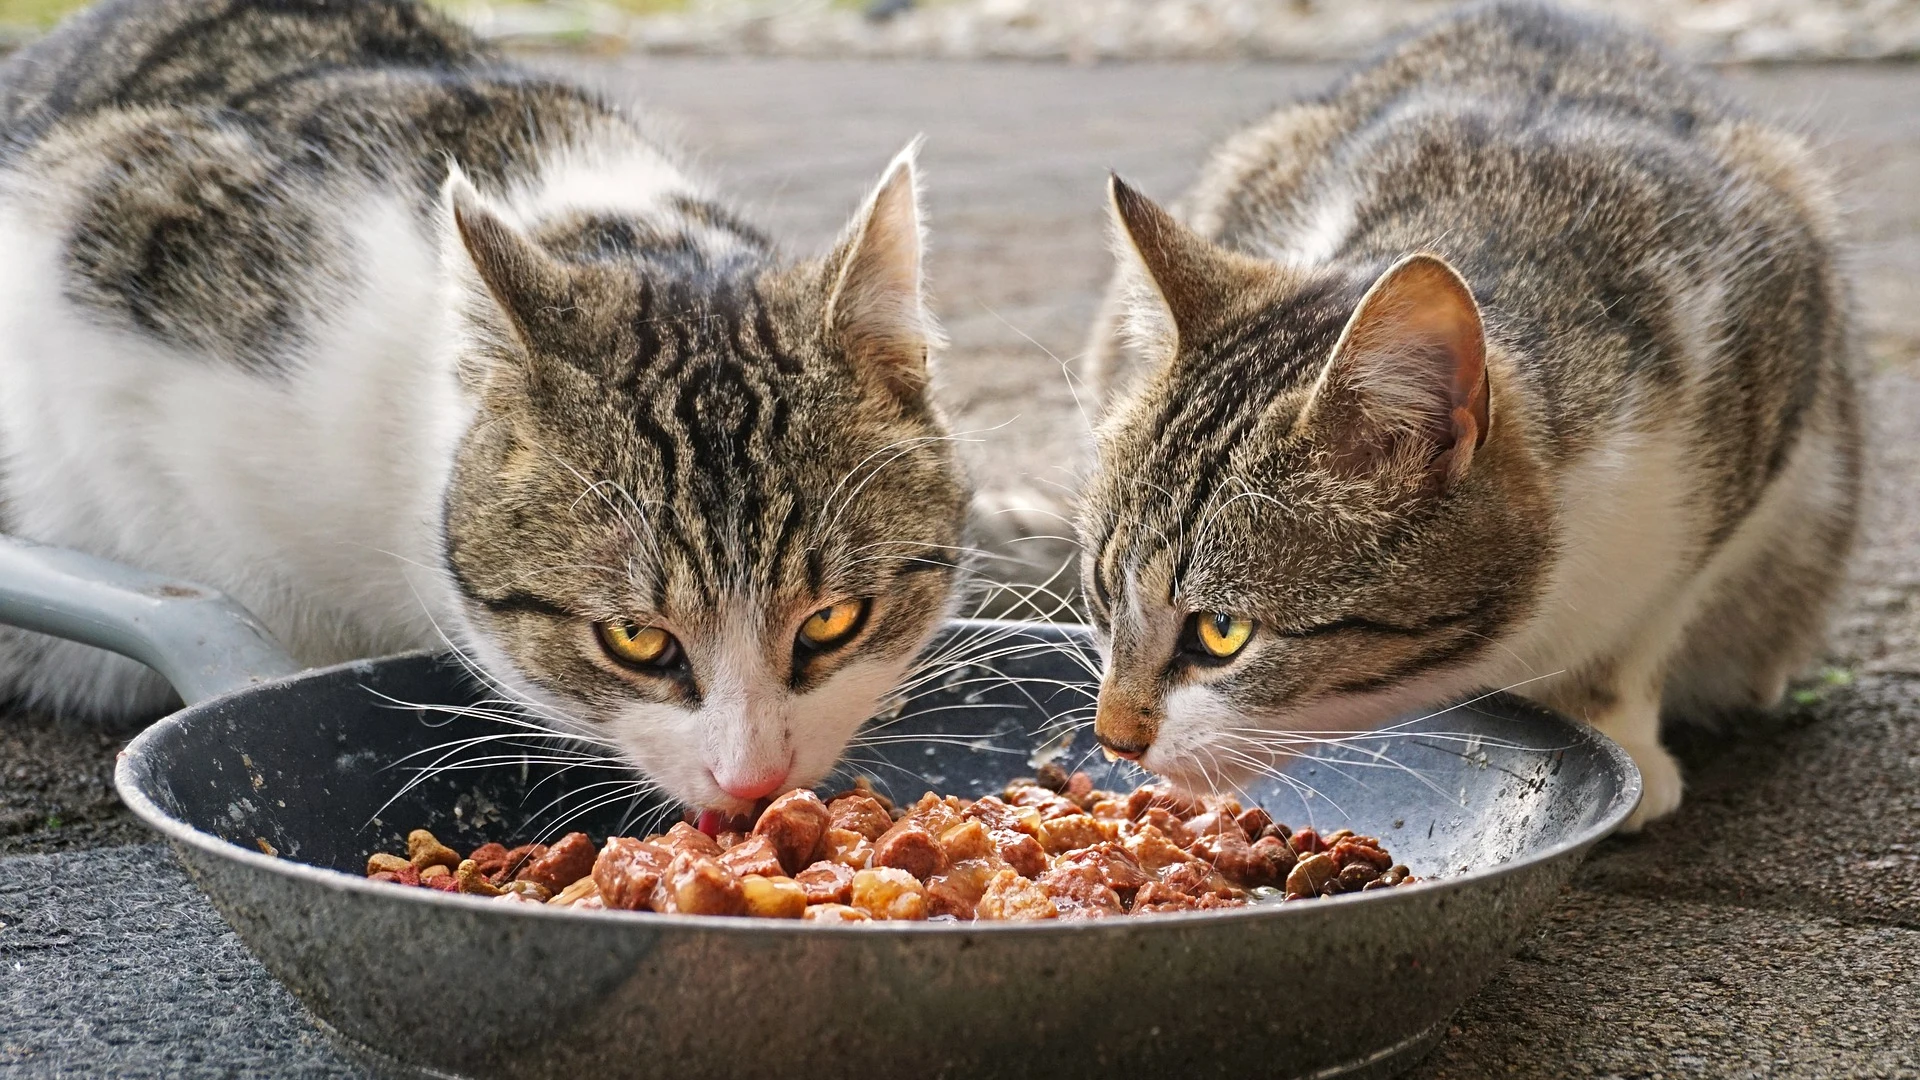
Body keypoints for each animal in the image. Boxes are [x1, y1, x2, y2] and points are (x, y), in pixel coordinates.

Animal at [1075, 0, 1850, 826]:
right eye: (1102, 590)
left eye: (1223, 632)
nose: (1114, 739)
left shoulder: (1766, 365)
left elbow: (1647, 624)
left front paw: (1619, 731)